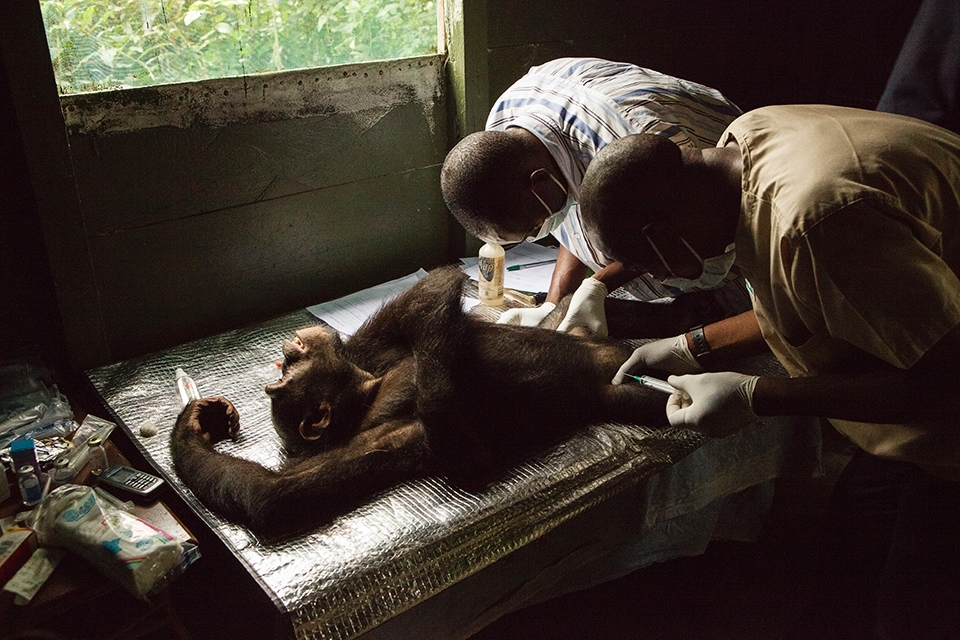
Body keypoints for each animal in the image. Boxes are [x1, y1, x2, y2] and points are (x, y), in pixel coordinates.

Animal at [171, 265, 669, 538]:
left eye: (283, 373)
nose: (290, 351)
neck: (368, 392)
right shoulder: (385, 439)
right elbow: (273, 493)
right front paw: (194, 426)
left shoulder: (371, 350)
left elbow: (430, 292)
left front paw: (198, 419)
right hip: (620, 390)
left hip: (592, 334)